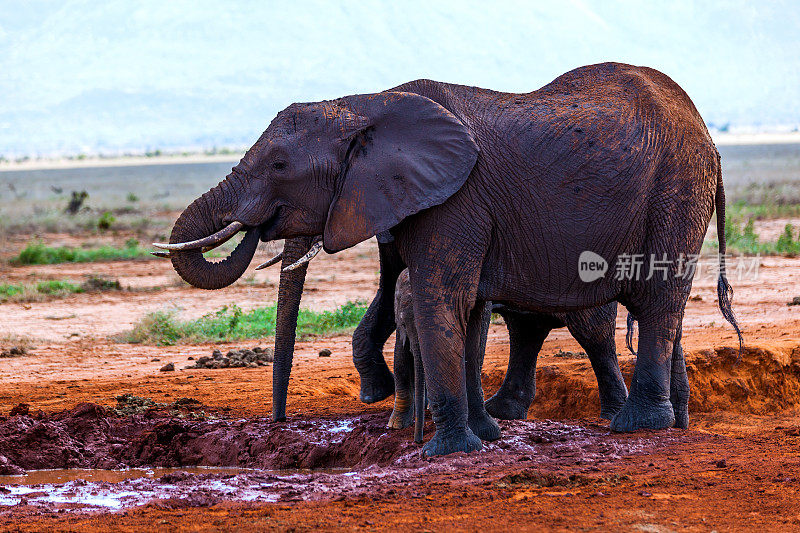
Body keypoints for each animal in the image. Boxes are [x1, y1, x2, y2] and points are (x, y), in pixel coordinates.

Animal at [390, 270, 632, 440]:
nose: (418, 439)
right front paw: (400, 423)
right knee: (526, 327)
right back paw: (503, 411)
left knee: (592, 331)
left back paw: (611, 414)